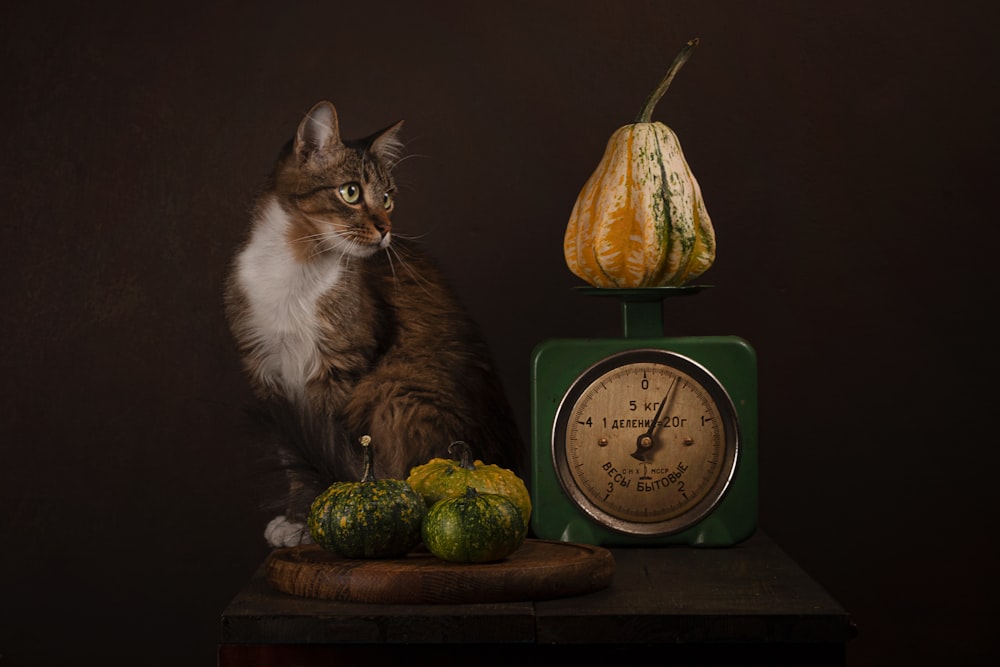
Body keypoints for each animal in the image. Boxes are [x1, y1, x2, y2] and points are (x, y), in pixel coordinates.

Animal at [226, 100, 524, 548]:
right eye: (350, 192)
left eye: (387, 199)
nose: (386, 230)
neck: (296, 267)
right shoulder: (268, 373)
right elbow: (294, 458)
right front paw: (297, 518)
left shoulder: (339, 369)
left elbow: (325, 454)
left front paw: (309, 518)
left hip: (393, 389)